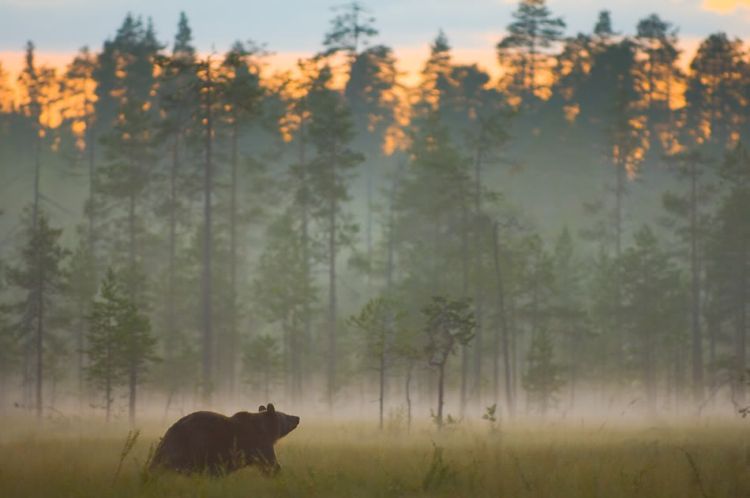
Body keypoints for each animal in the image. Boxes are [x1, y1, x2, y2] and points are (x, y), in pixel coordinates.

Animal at [147, 402, 300, 476]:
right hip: (191, 445)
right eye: (285, 416)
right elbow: (269, 461)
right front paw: (276, 471)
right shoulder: (258, 443)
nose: (297, 417)